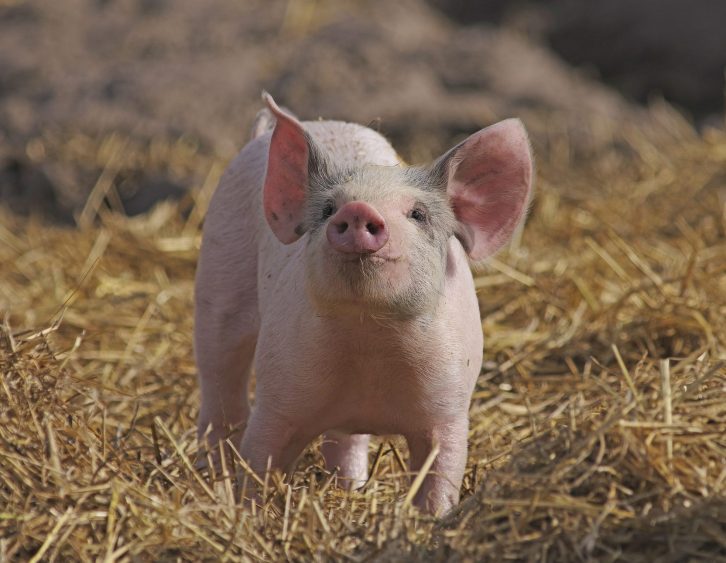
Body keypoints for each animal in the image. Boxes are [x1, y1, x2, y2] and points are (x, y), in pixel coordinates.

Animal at [195, 92, 533, 514]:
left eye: (418, 214)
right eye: (327, 209)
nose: (357, 210)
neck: (369, 340)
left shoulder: (449, 409)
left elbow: (441, 473)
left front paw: (434, 518)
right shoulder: (277, 397)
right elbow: (258, 458)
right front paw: (249, 513)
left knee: (345, 441)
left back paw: (351, 488)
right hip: (218, 279)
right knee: (220, 389)